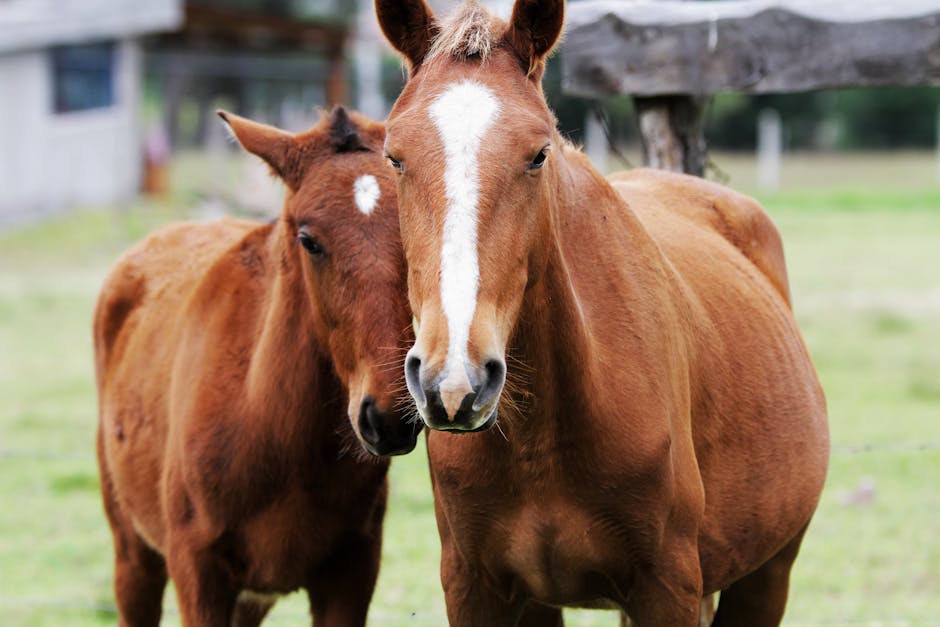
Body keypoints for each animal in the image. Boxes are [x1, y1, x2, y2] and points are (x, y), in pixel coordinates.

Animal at [374, 0, 828, 624]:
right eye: (395, 156)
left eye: (539, 155)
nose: (454, 382)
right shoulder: (476, 588)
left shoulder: (667, 588)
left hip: (767, 574)